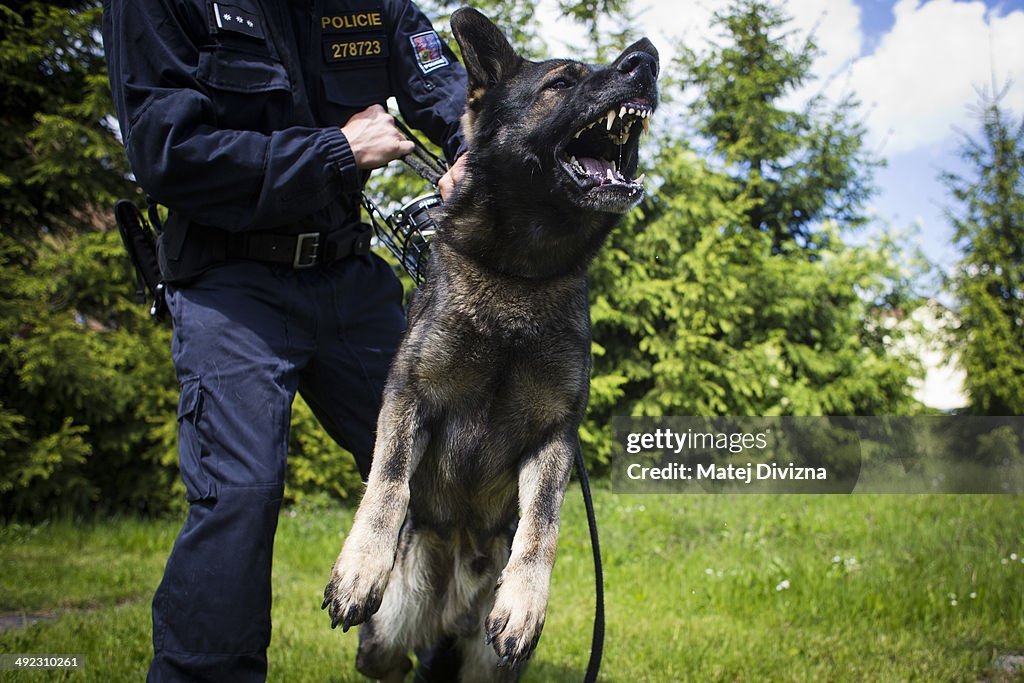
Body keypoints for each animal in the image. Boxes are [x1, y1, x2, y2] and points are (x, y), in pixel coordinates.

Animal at [327, 6, 659, 683]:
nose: (646, 60)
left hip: (486, 665)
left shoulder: (555, 435)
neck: (521, 274)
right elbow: (388, 482)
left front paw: (525, 601)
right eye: (562, 82)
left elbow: (544, 524)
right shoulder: (409, 396)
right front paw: (360, 565)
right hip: (382, 644)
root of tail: (449, 610)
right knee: (390, 658)